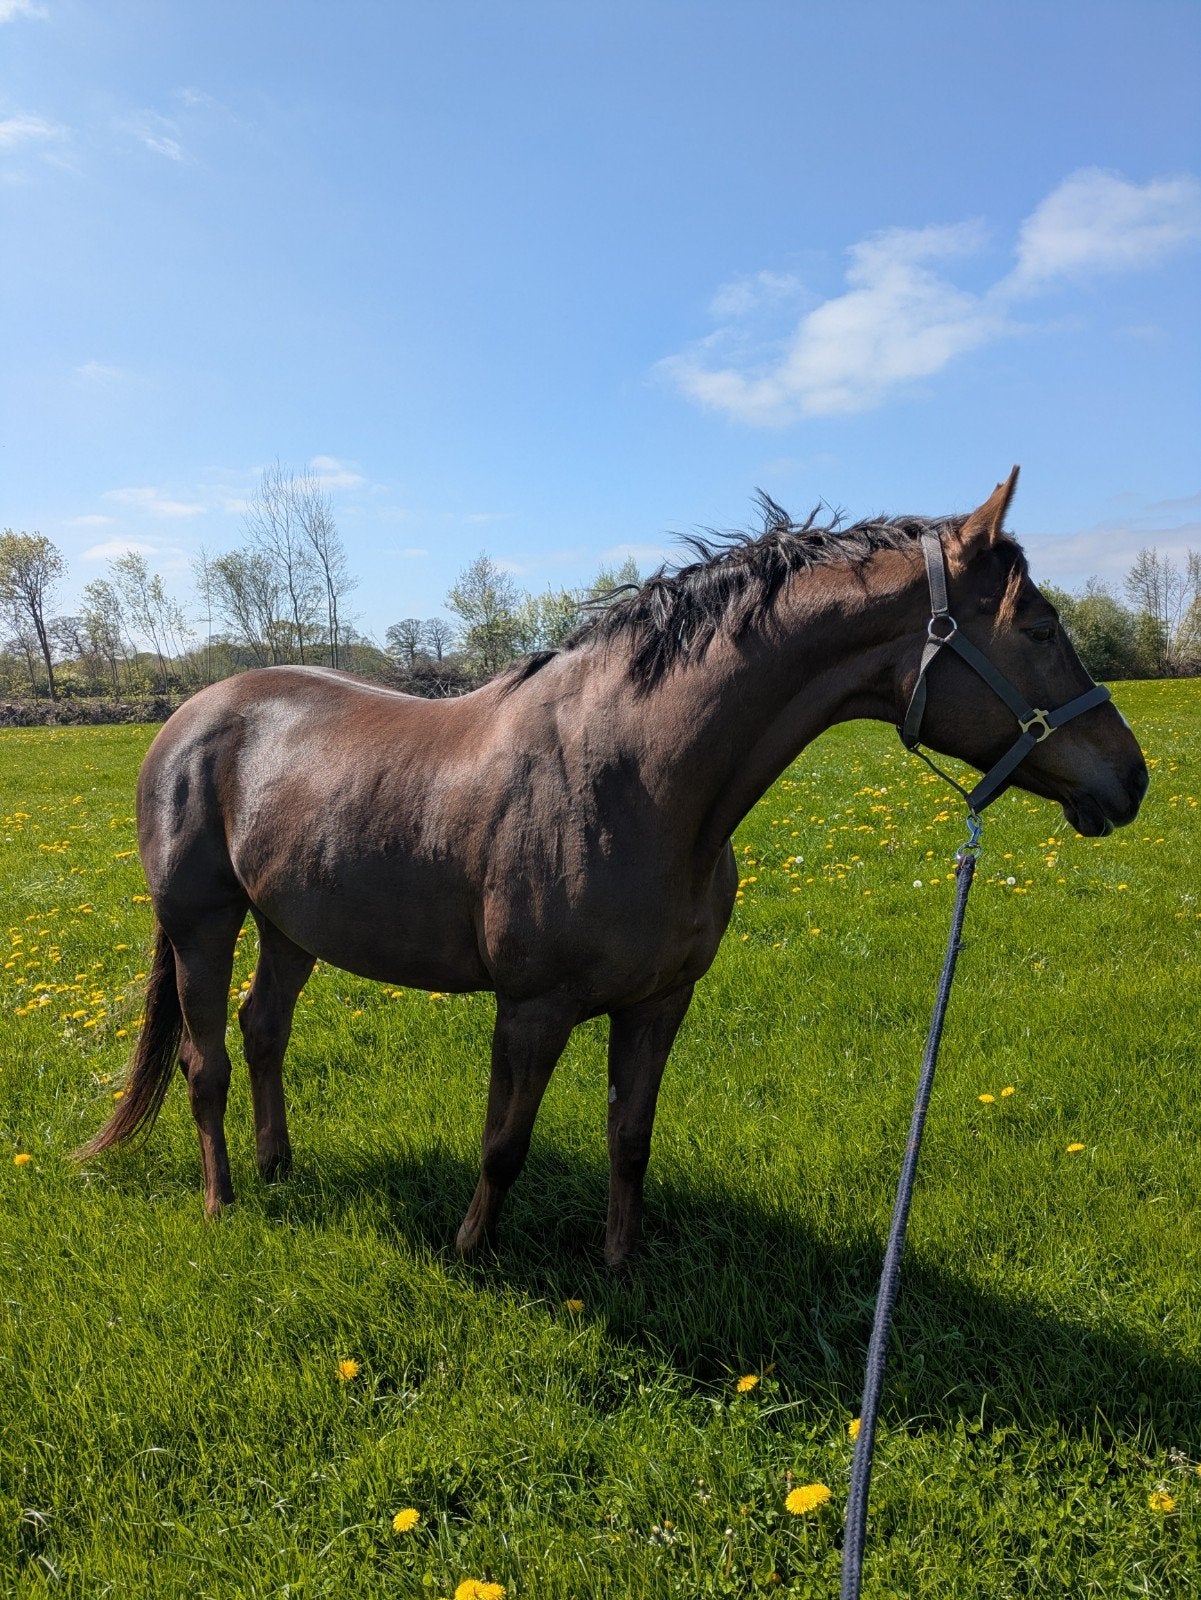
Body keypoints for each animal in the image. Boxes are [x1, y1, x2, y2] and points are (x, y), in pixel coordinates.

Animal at [78, 470, 1147, 1266]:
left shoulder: (661, 1002)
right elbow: (504, 1143)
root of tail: (193, 714)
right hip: (201, 923)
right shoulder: (533, 1009)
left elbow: (630, 1139)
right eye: (1039, 627)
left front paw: (622, 1264)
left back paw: (278, 1167)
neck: (636, 779)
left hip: (290, 922)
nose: (1130, 778)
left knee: (264, 1032)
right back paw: (224, 1203)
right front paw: (472, 1253)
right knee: (205, 1059)